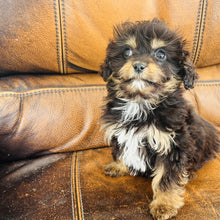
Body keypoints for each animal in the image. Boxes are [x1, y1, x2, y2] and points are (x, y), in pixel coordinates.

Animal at [100, 18, 220, 220]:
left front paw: (164, 205)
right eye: (127, 52)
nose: (138, 65)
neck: (140, 103)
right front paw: (118, 166)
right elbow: (120, 148)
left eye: (161, 54)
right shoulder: (120, 131)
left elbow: (166, 177)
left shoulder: (173, 144)